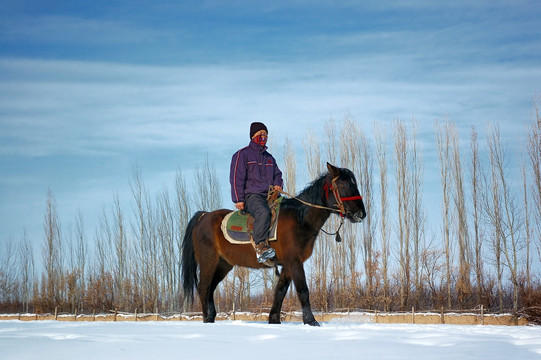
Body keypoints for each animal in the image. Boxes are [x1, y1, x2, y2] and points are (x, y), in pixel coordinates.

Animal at [182, 162, 368, 324]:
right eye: (344, 184)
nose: (361, 214)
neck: (300, 220)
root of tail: (203, 216)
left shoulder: (287, 264)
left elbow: (280, 291)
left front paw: (274, 320)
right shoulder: (295, 262)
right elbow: (303, 290)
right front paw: (311, 321)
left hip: (223, 264)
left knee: (210, 288)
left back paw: (211, 317)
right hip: (208, 261)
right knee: (203, 287)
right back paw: (206, 319)